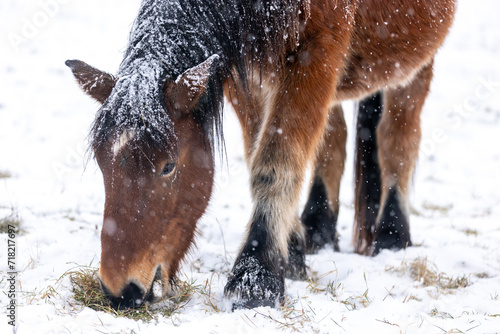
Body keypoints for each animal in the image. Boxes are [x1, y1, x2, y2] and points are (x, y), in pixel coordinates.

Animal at [67, 0, 458, 310]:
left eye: (168, 166)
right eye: (102, 164)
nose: (120, 291)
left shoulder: (316, 52)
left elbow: (274, 163)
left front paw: (256, 277)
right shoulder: (249, 72)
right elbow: (262, 149)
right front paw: (292, 253)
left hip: (412, 59)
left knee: (398, 137)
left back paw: (392, 235)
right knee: (334, 139)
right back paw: (318, 229)